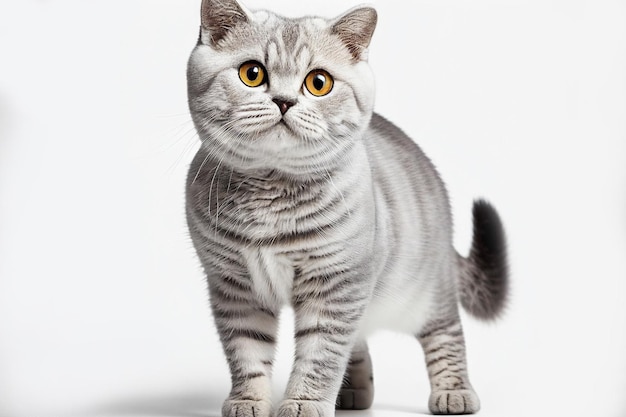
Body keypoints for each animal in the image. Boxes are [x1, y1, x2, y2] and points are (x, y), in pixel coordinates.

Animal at [184, 0, 508, 414]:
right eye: (252, 74)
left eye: (318, 82)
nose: (284, 101)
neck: (270, 193)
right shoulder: (236, 288)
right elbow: (247, 352)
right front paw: (248, 400)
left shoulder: (335, 285)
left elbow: (319, 356)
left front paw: (303, 402)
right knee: (359, 340)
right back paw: (354, 393)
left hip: (425, 294)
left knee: (447, 332)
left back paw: (454, 392)